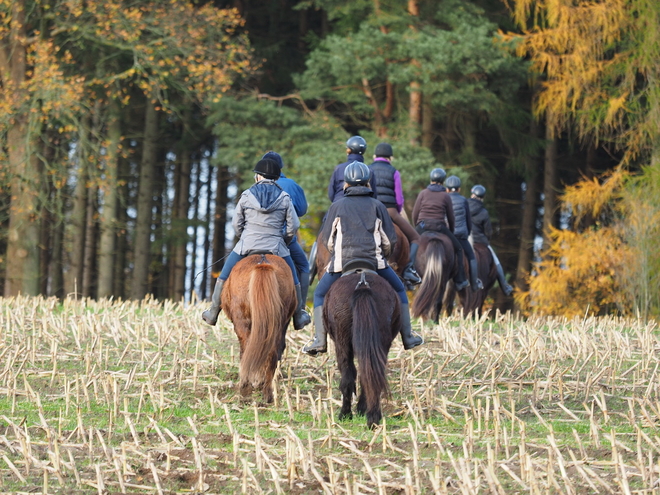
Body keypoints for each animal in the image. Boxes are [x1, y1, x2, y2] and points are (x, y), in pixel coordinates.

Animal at [220, 256, 296, 404]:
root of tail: (263, 263)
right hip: (277, 324)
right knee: (272, 351)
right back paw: (267, 393)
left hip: (242, 321)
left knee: (246, 349)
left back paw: (245, 390)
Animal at [324, 270, 402, 428]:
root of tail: (363, 284)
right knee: (372, 374)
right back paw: (373, 416)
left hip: (342, 344)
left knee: (348, 378)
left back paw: (345, 414)